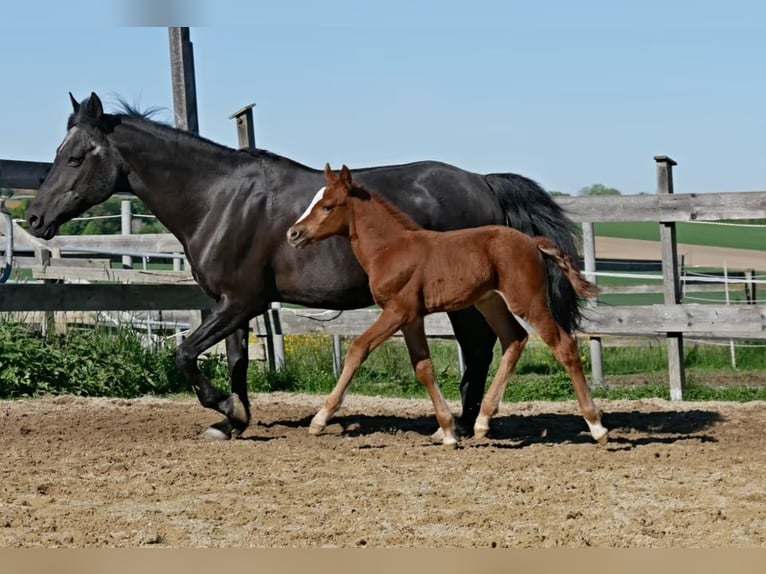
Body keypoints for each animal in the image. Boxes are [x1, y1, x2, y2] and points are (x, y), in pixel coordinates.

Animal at [284, 164, 608, 448]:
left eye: (327, 206)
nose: (293, 234)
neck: (391, 249)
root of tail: (532, 242)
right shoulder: (412, 317)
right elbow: (423, 367)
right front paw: (448, 431)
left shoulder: (398, 310)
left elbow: (358, 348)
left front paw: (320, 419)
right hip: (489, 301)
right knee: (514, 338)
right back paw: (482, 422)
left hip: (527, 300)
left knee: (564, 346)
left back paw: (597, 427)